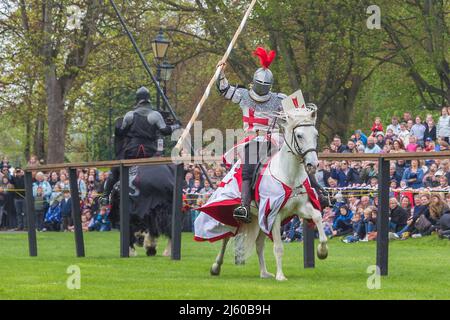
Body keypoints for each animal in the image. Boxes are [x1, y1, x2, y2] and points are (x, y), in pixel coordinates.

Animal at [209, 107, 328, 280]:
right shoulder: (274, 214)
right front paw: (281, 276)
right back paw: (216, 267)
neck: (288, 175)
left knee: (258, 244)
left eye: (316, 135)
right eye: (299, 135)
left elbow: (318, 217)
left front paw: (322, 252)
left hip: (260, 218)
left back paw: (264, 273)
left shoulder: (300, 208)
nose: (313, 164)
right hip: (237, 214)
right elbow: (278, 247)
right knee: (226, 237)